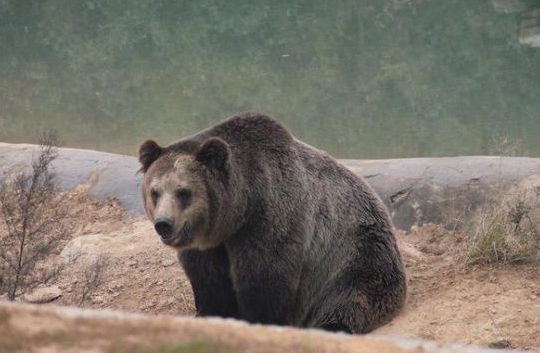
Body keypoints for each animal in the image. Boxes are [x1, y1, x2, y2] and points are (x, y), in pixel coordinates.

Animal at [137, 111, 408, 332]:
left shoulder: (272, 217)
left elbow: (265, 278)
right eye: (155, 192)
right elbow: (210, 282)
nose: (164, 223)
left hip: (353, 255)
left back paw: (332, 325)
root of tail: (380, 205)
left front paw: (259, 319)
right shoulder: (208, 246)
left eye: (183, 192)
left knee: (349, 300)